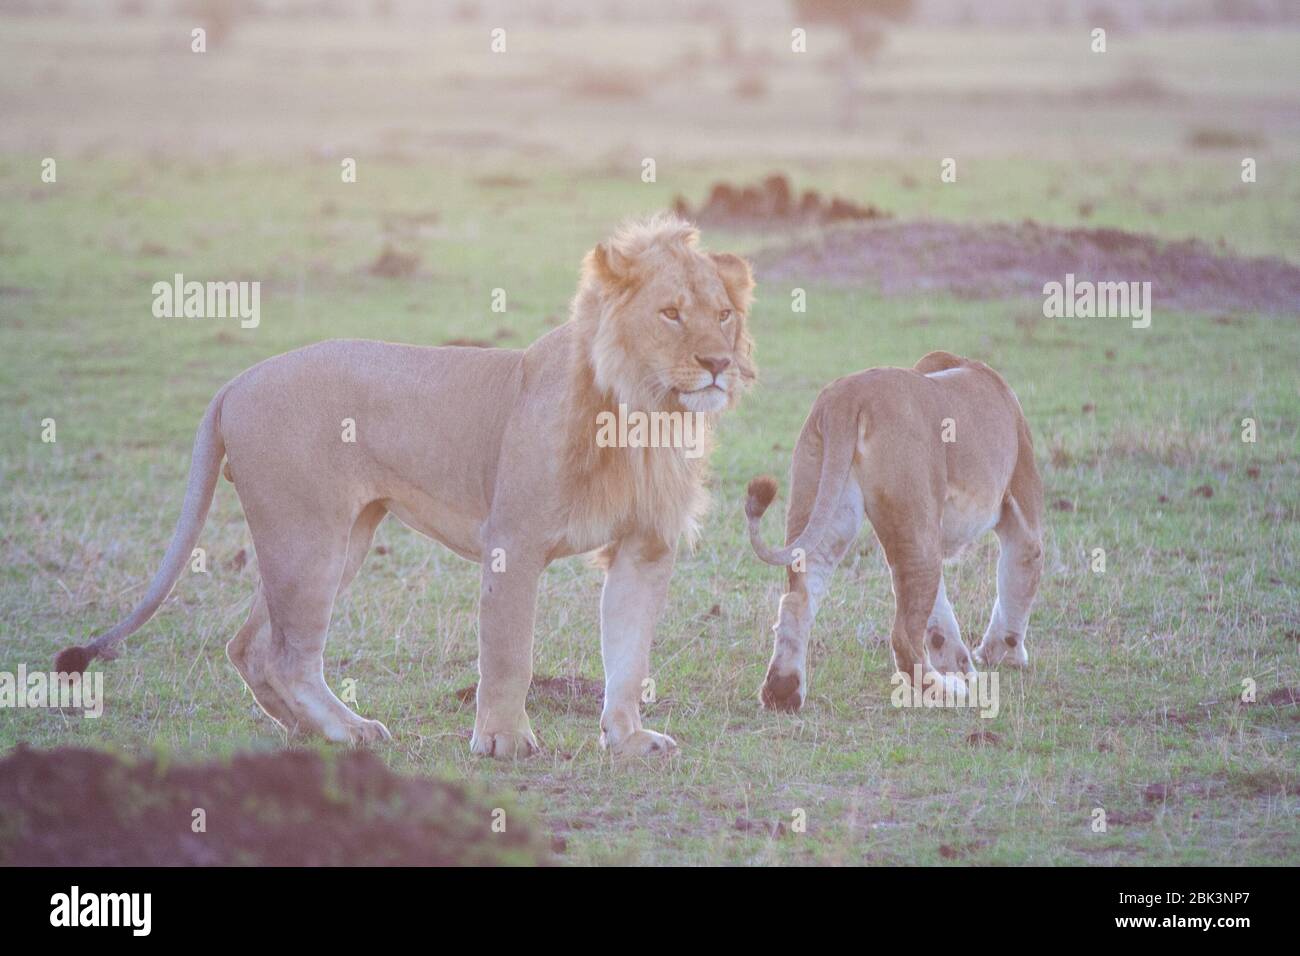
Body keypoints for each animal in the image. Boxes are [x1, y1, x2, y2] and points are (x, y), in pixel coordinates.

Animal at [58, 214, 754, 754]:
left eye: (723, 314)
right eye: (670, 314)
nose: (718, 363)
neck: (644, 414)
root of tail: (237, 381)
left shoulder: (645, 548)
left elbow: (629, 656)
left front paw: (629, 739)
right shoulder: (513, 540)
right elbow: (509, 652)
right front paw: (503, 741)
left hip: (341, 537)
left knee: (249, 646)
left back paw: (309, 730)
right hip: (308, 538)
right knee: (287, 654)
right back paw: (348, 730)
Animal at [748, 351, 1040, 712]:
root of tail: (849, 394)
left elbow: (939, 614)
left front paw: (962, 660)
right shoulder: (1022, 507)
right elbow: (1020, 576)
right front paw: (1004, 655)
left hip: (829, 506)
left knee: (797, 599)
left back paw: (782, 692)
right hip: (916, 528)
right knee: (903, 638)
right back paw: (948, 691)